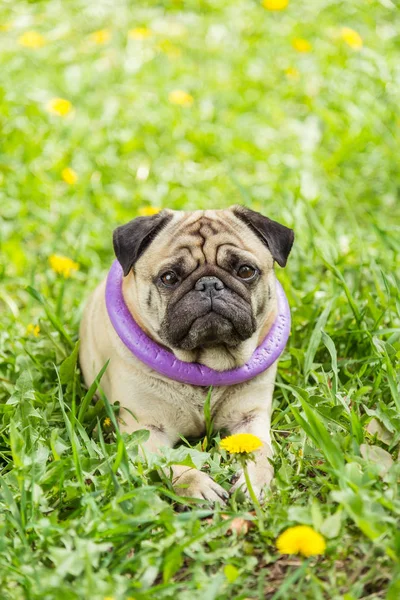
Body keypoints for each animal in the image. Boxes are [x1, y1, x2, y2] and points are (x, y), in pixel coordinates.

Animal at [80, 207, 294, 502]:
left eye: (246, 271)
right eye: (169, 278)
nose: (209, 284)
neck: (206, 360)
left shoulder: (249, 417)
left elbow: (261, 452)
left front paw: (255, 482)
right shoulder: (145, 430)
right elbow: (170, 462)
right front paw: (197, 485)